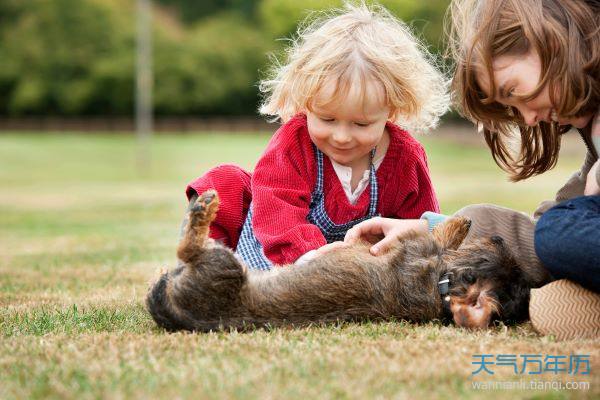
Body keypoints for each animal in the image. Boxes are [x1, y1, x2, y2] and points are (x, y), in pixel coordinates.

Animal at [146, 190, 544, 332]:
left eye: (488, 257)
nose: (498, 236)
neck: (438, 285)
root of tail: (176, 312)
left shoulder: (417, 248)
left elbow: (442, 235)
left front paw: (457, 224)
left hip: (222, 265)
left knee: (188, 248)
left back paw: (201, 209)